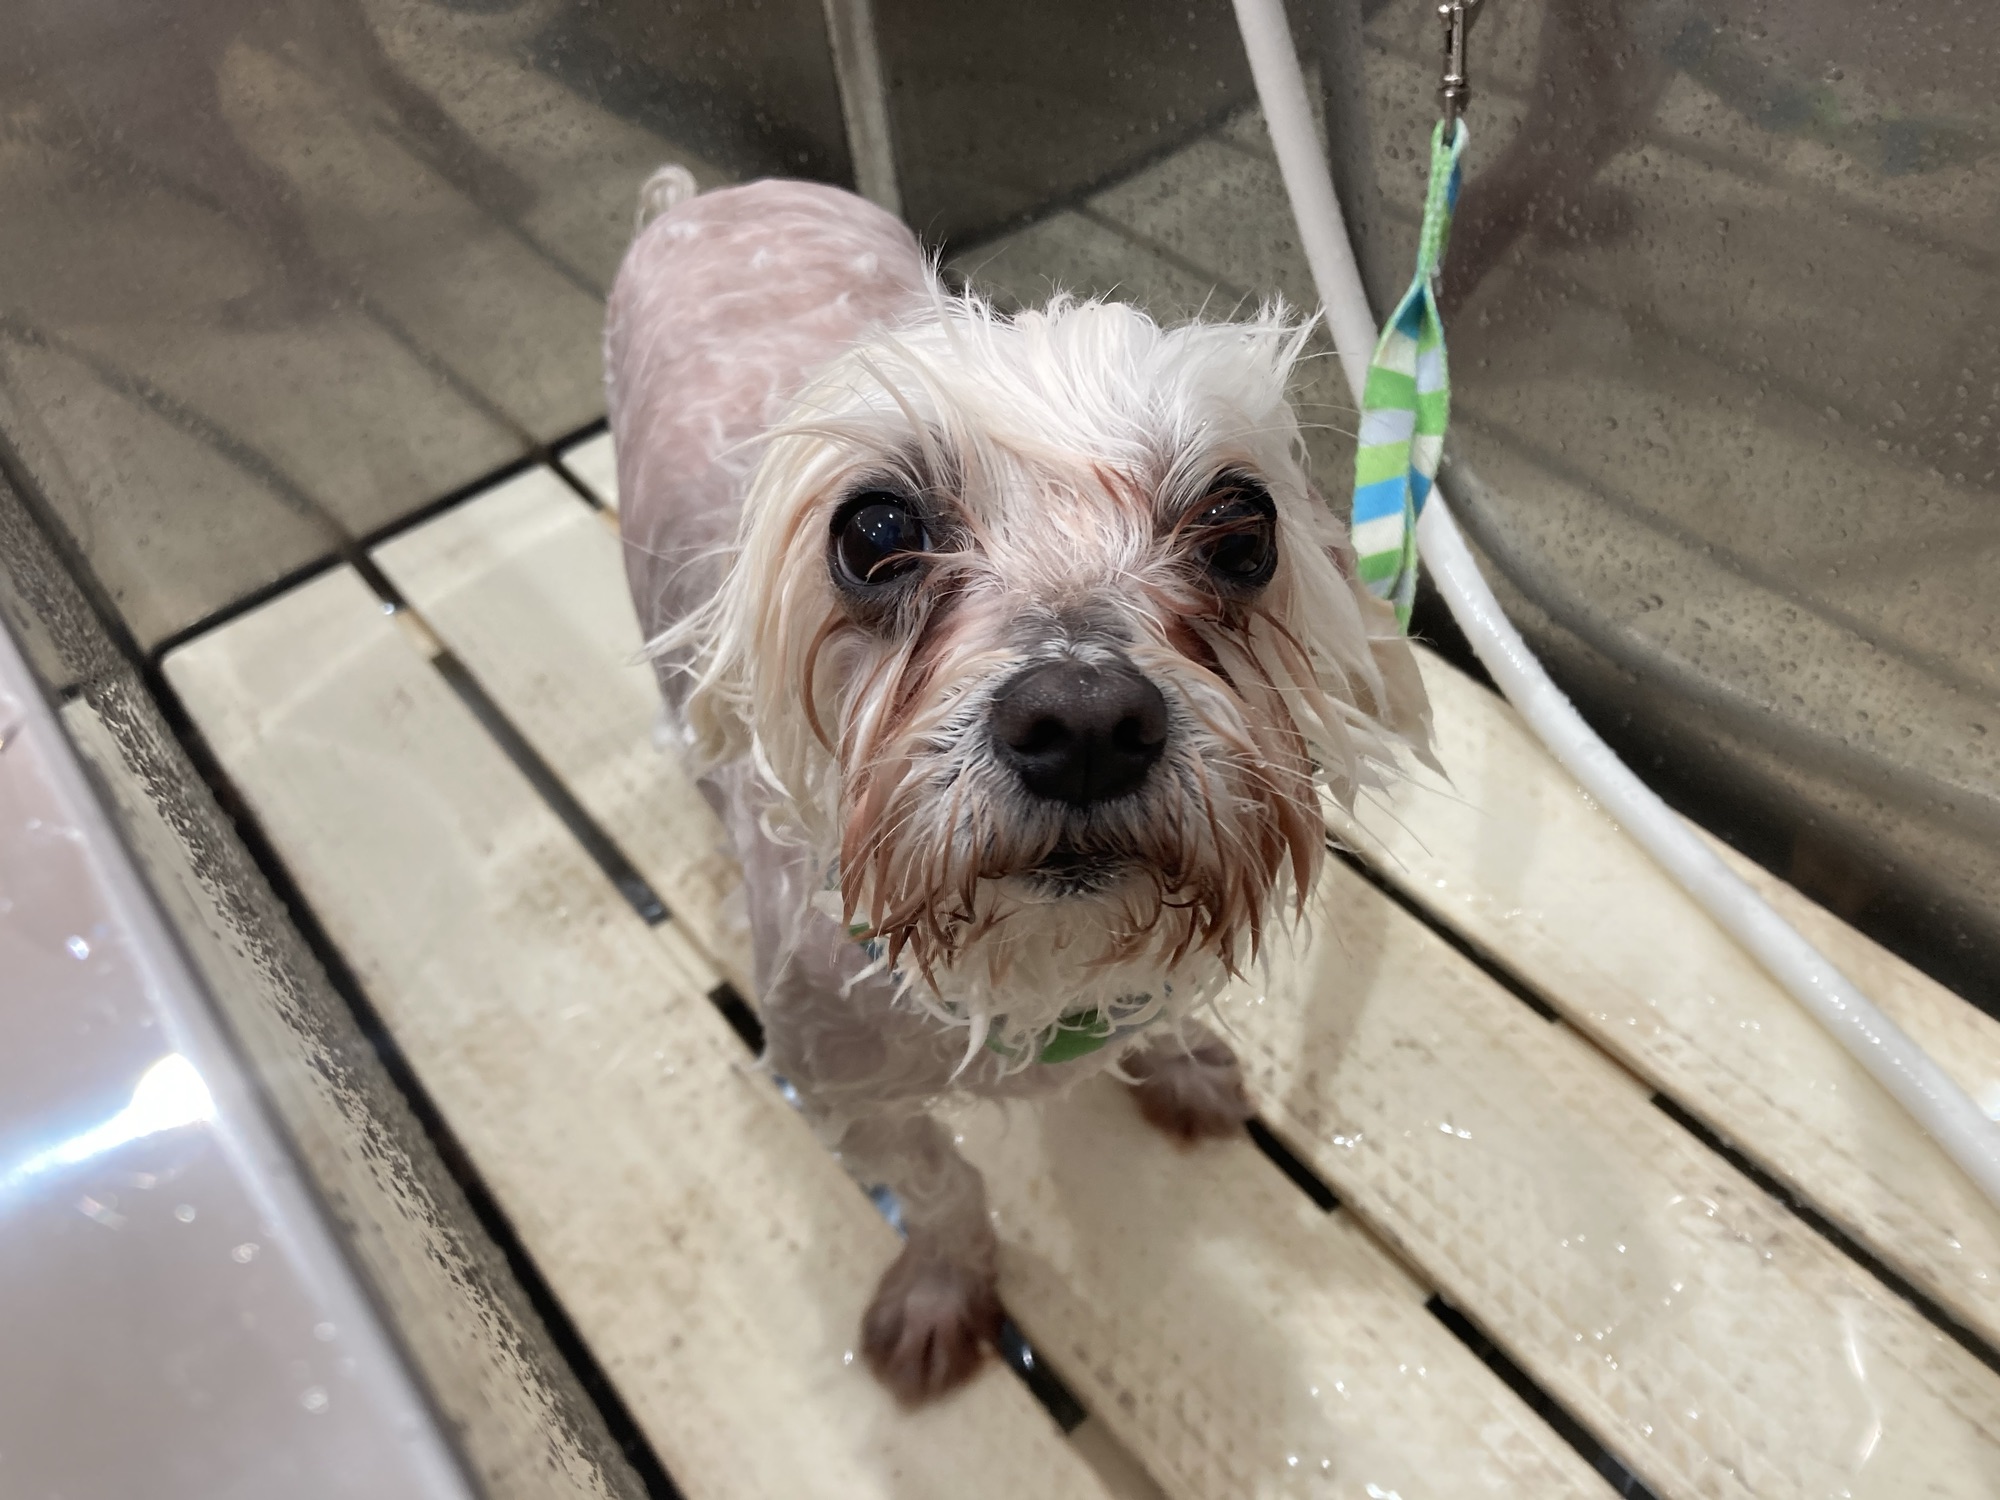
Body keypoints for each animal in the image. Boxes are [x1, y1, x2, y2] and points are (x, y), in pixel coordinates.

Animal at [606, 167, 1431, 1402]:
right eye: (876, 529)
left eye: (1241, 525)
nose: (1083, 723)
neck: (1027, 978)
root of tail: (715, 194)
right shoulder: (841, 1096)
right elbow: (943, 1186)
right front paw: (944, 1286)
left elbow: (1154, 1014)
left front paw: (1176, 1058)